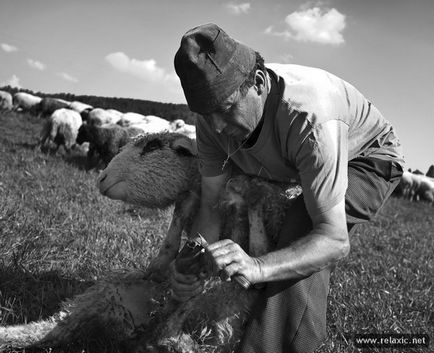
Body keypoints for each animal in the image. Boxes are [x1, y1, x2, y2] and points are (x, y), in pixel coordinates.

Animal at [0, 131, 302, 350]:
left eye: (152, 146)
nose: (101, 178)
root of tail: (135, 330)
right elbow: (179, 223)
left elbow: (253, 240)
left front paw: (245, 192)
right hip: (109, 295)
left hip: (223, 319)